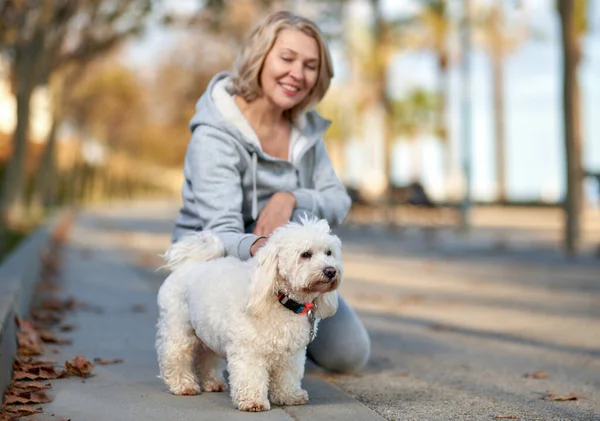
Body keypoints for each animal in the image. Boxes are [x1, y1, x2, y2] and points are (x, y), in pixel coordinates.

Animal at [155, 218, 342, 412]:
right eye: (305, 254)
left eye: (329, 253)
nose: (331, 271)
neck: (281, 299)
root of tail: (189, 265)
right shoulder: (249, 351)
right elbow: (250, 376)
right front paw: (253, 401)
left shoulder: (292, 354)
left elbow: (287, 377)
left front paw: (289, 396)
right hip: (178, 331)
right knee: (175, 357)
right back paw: (183, 385)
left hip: (209, 334)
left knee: (207, 357)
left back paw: (212, 382)